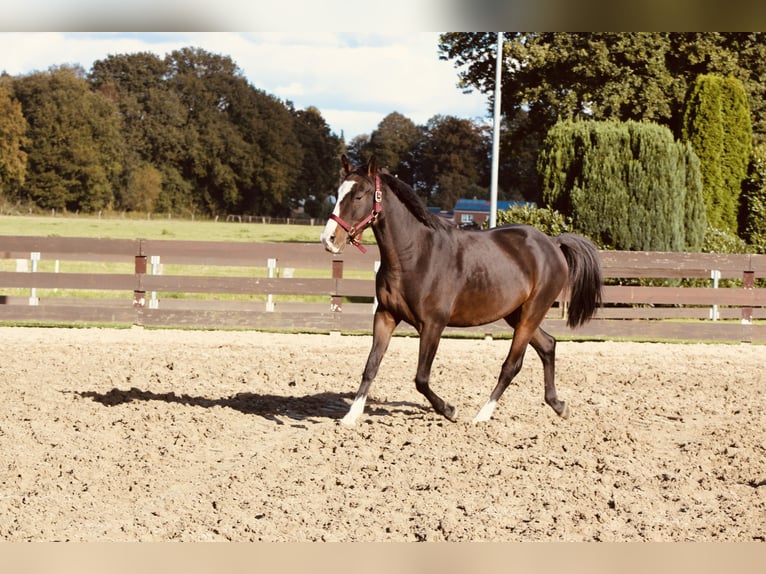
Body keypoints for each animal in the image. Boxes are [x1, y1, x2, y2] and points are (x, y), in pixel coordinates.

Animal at [320, 156, 604, 428]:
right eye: (338, 193)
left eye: (359, 195)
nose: (328, 239)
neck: (415, 255)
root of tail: (553, 243)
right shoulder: (386, 315)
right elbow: (371, 366)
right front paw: (350, 417)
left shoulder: (433, 324)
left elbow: (421, 378)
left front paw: (449, 410)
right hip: (516, 314)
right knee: (548, 345)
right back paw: (559, 406)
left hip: (531, 314)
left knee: (511, 365)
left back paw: (481, 416)